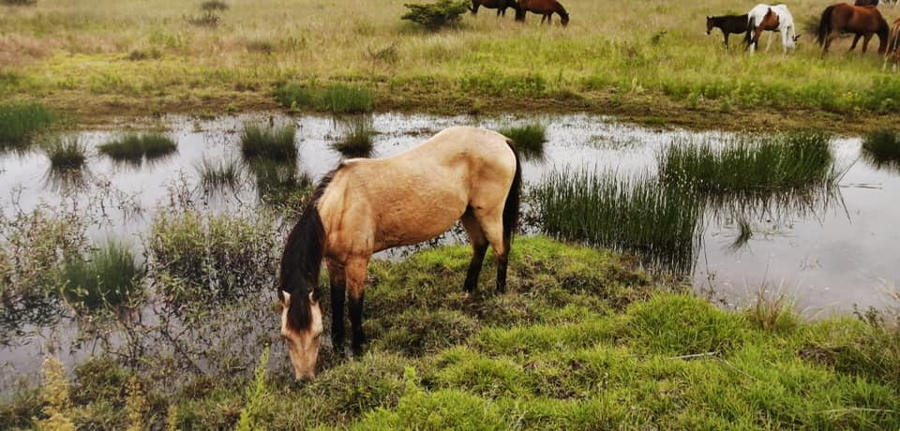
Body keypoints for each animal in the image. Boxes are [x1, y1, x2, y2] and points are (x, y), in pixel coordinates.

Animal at [278, 125, 524, 382]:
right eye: (286, 336)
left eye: (316, 334)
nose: (304, 379)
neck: (343, 204)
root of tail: (502, 140)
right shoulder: (333, 262)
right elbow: (336, 304)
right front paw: (338, 346)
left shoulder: (357, 262)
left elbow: (354, 307)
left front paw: (358, 348)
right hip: (468, 213)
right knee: (480, 246)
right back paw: (468, 288)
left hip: (489, 213)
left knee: (501, 250)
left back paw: (499, 294)